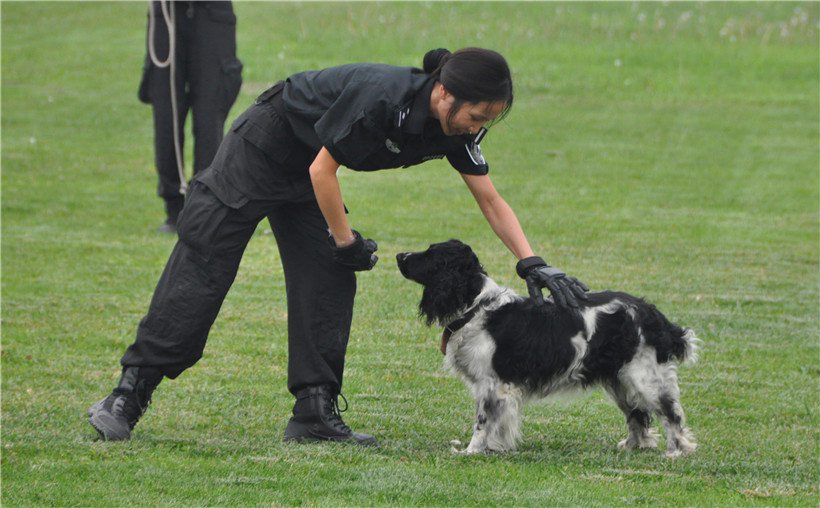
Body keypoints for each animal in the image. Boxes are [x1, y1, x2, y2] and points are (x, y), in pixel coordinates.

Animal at [396, 240, 700, 458]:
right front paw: (494, 448)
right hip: (619, 380)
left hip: (643, 376)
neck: (477, 308)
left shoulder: (492, 384)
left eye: (430, 255)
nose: (399, 255)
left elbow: (482, 422)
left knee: (670, 412)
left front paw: (471, 451)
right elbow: (499, 424)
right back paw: (633, 445)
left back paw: (677, 451)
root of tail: (652, 313)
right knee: (637, 414)